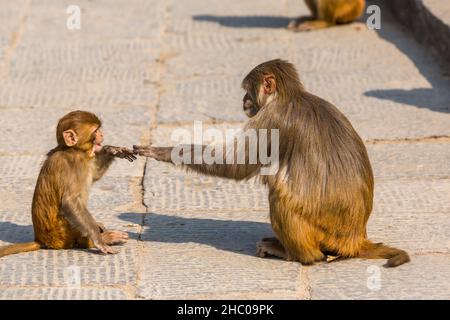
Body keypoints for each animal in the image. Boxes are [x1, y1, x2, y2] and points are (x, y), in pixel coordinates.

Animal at [0, 110, 135, 258]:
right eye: (95, 131)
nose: (101, 134)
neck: (72, 149)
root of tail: (41, 240)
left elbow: (94, 175)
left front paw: (112, 150)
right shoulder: (75, 163)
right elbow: (70, 202)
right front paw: (99, 241)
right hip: (63, 233)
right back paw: (103, 238)